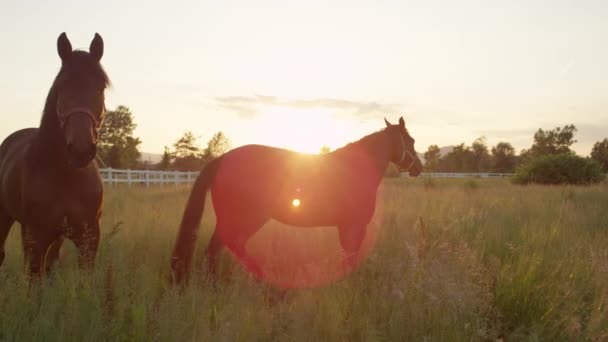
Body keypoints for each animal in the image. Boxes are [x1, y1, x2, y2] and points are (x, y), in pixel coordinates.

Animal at [0, 32, 109, 278]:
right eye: (62, 85)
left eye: (101, 87)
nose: (80, 150)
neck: (66, 175)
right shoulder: (36, 239)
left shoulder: (88, 239)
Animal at [171, 117, 422, 284]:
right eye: (410, 140)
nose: (419, 167)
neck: (355, 169)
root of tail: (222, 159)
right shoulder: (354, 226)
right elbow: (350, 258)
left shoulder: (345, 227)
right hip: (248, 218)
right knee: (224, 248)